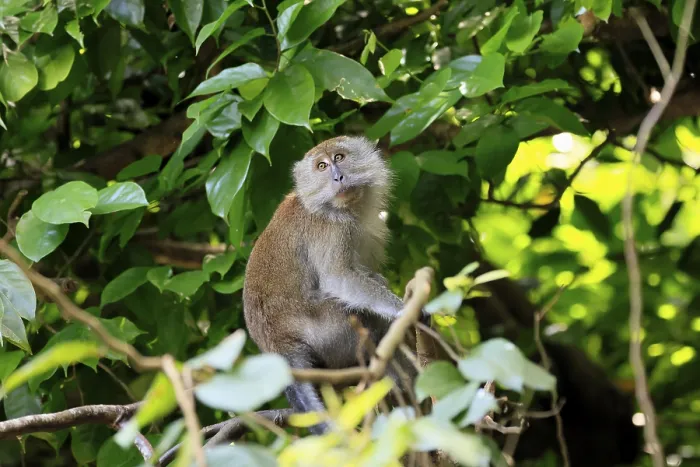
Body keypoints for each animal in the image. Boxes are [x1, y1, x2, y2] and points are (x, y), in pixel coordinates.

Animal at [243, 135, 426, 435]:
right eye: (321, 166)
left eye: (339, 157)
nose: (338, 177)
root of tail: (279, 347)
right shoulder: (332, 230)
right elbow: (339, 277)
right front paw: (403, 311)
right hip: (330, 333)